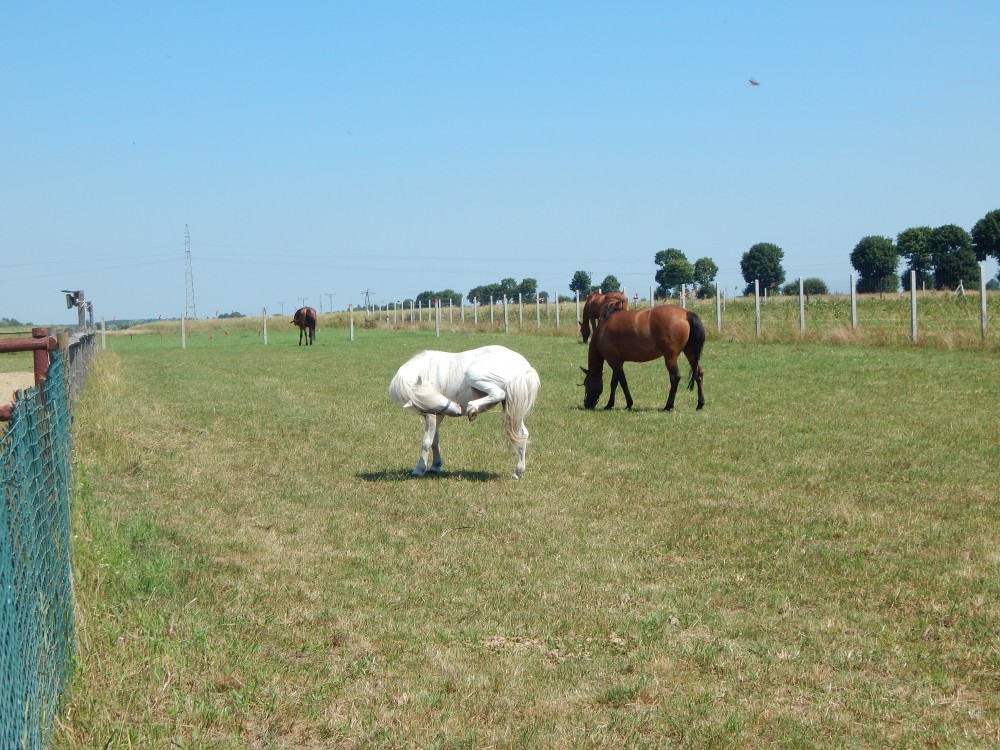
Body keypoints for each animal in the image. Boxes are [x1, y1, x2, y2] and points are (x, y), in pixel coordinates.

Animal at [388, 345, 541, 479]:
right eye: (425, 407)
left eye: (433, 391)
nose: (457, 410)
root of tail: (525, 366)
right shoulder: (437, 414)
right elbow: (434, 441)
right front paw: (435, 466)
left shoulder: (432, 416)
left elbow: (427, 441)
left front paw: (419, 469)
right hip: (511, 406)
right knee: (522, 434)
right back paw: (518, 472)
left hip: (475, 376)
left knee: (498, 393)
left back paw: (472, 408)